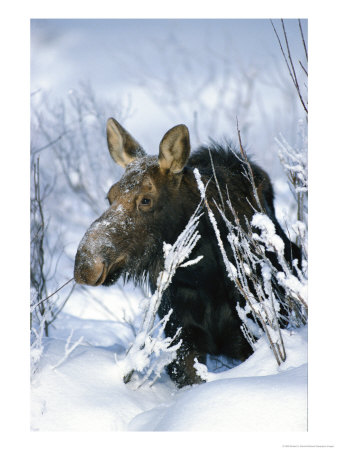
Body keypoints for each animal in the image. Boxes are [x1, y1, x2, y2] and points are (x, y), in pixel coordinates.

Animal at [73, 118, 298, 386]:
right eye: (109, 196)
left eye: (146, 200)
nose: (86, 265)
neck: (204, 275)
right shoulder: (182, 340)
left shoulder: (254, 334)